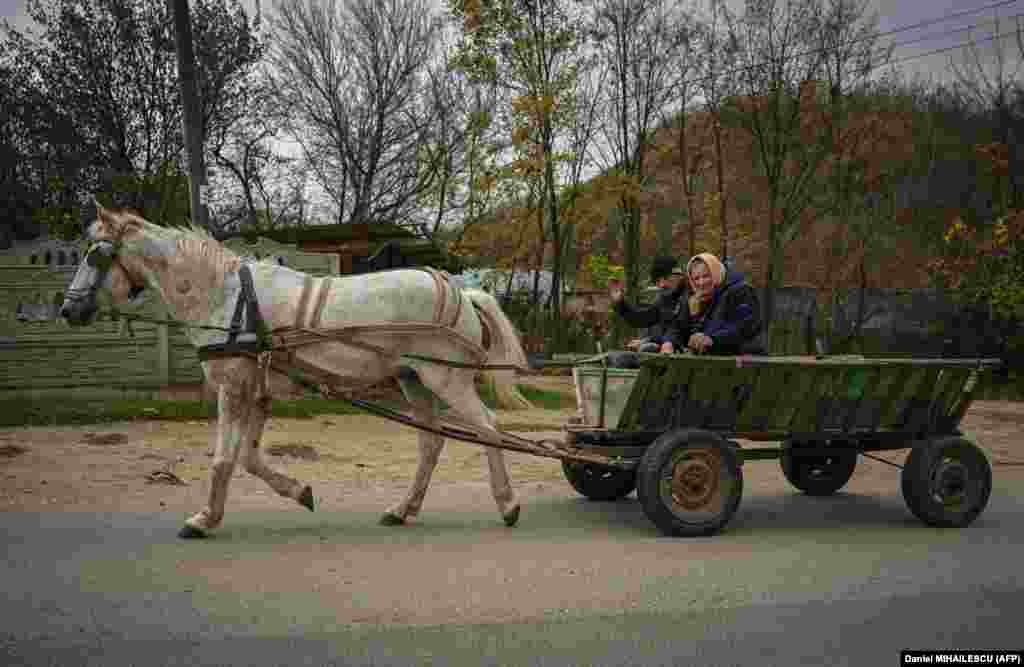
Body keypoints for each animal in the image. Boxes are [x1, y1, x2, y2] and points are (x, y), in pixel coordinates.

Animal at [59, 201, 532, 536]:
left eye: (95, 255)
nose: (67, 309)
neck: (228, 297)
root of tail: (461, 291)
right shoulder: (257, 390)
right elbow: (248, 457)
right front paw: (298, 492)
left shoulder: (233, 387)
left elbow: (224, 458)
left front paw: (204, 518)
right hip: (413, 381)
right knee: (431, 443)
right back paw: (403, 509)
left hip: (446, 379)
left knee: (488, 427)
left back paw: (508, 504)